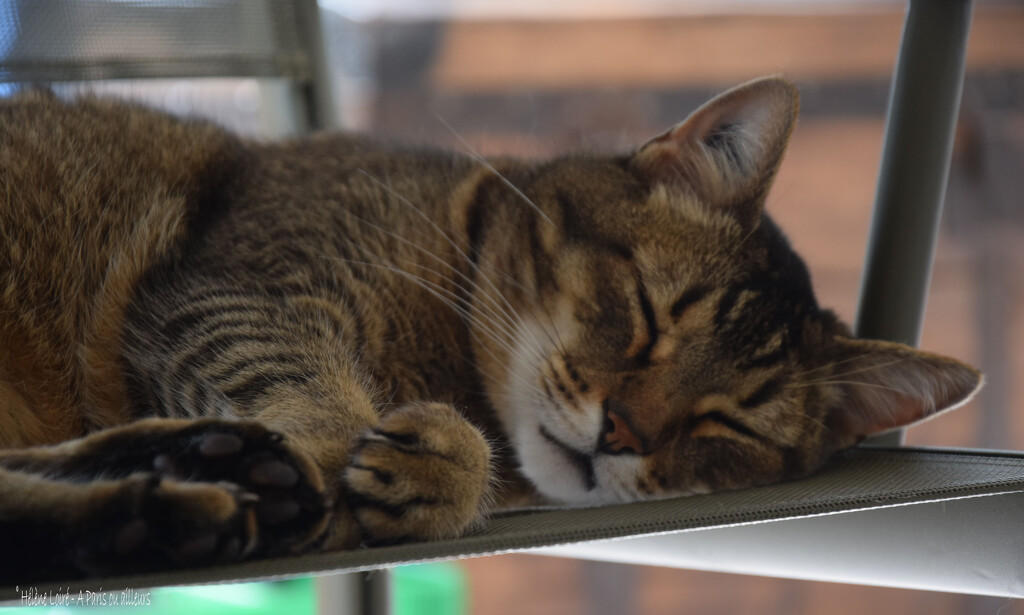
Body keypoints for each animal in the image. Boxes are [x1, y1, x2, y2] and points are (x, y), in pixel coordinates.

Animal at [0, 76, 978, 581]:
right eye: (651, 313)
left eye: (727, 422)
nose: (621, 433)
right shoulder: (241, 287)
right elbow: (300, 380)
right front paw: (342, 452)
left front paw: (433, 470)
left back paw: (170, 487)